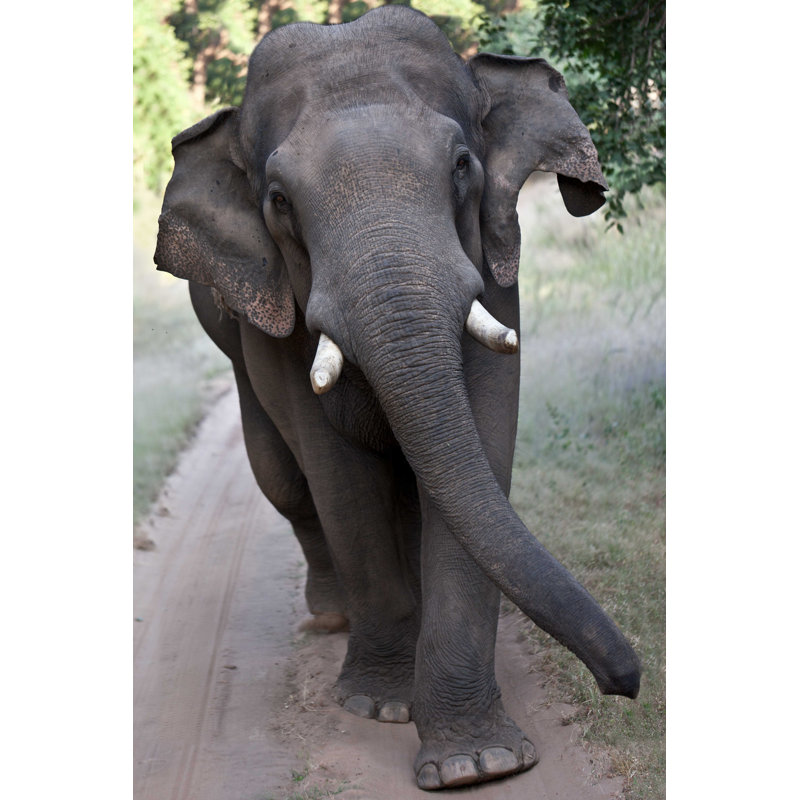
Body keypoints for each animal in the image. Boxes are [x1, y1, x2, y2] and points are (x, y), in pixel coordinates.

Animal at [154, 5, 640, 791]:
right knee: (287, 483)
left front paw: (477, 762)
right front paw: (381, 705)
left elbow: (482, 435)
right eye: (279, 202)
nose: (628, 682)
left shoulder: (491, 264)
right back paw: (331, 620)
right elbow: (338, 474)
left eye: (462, 166)